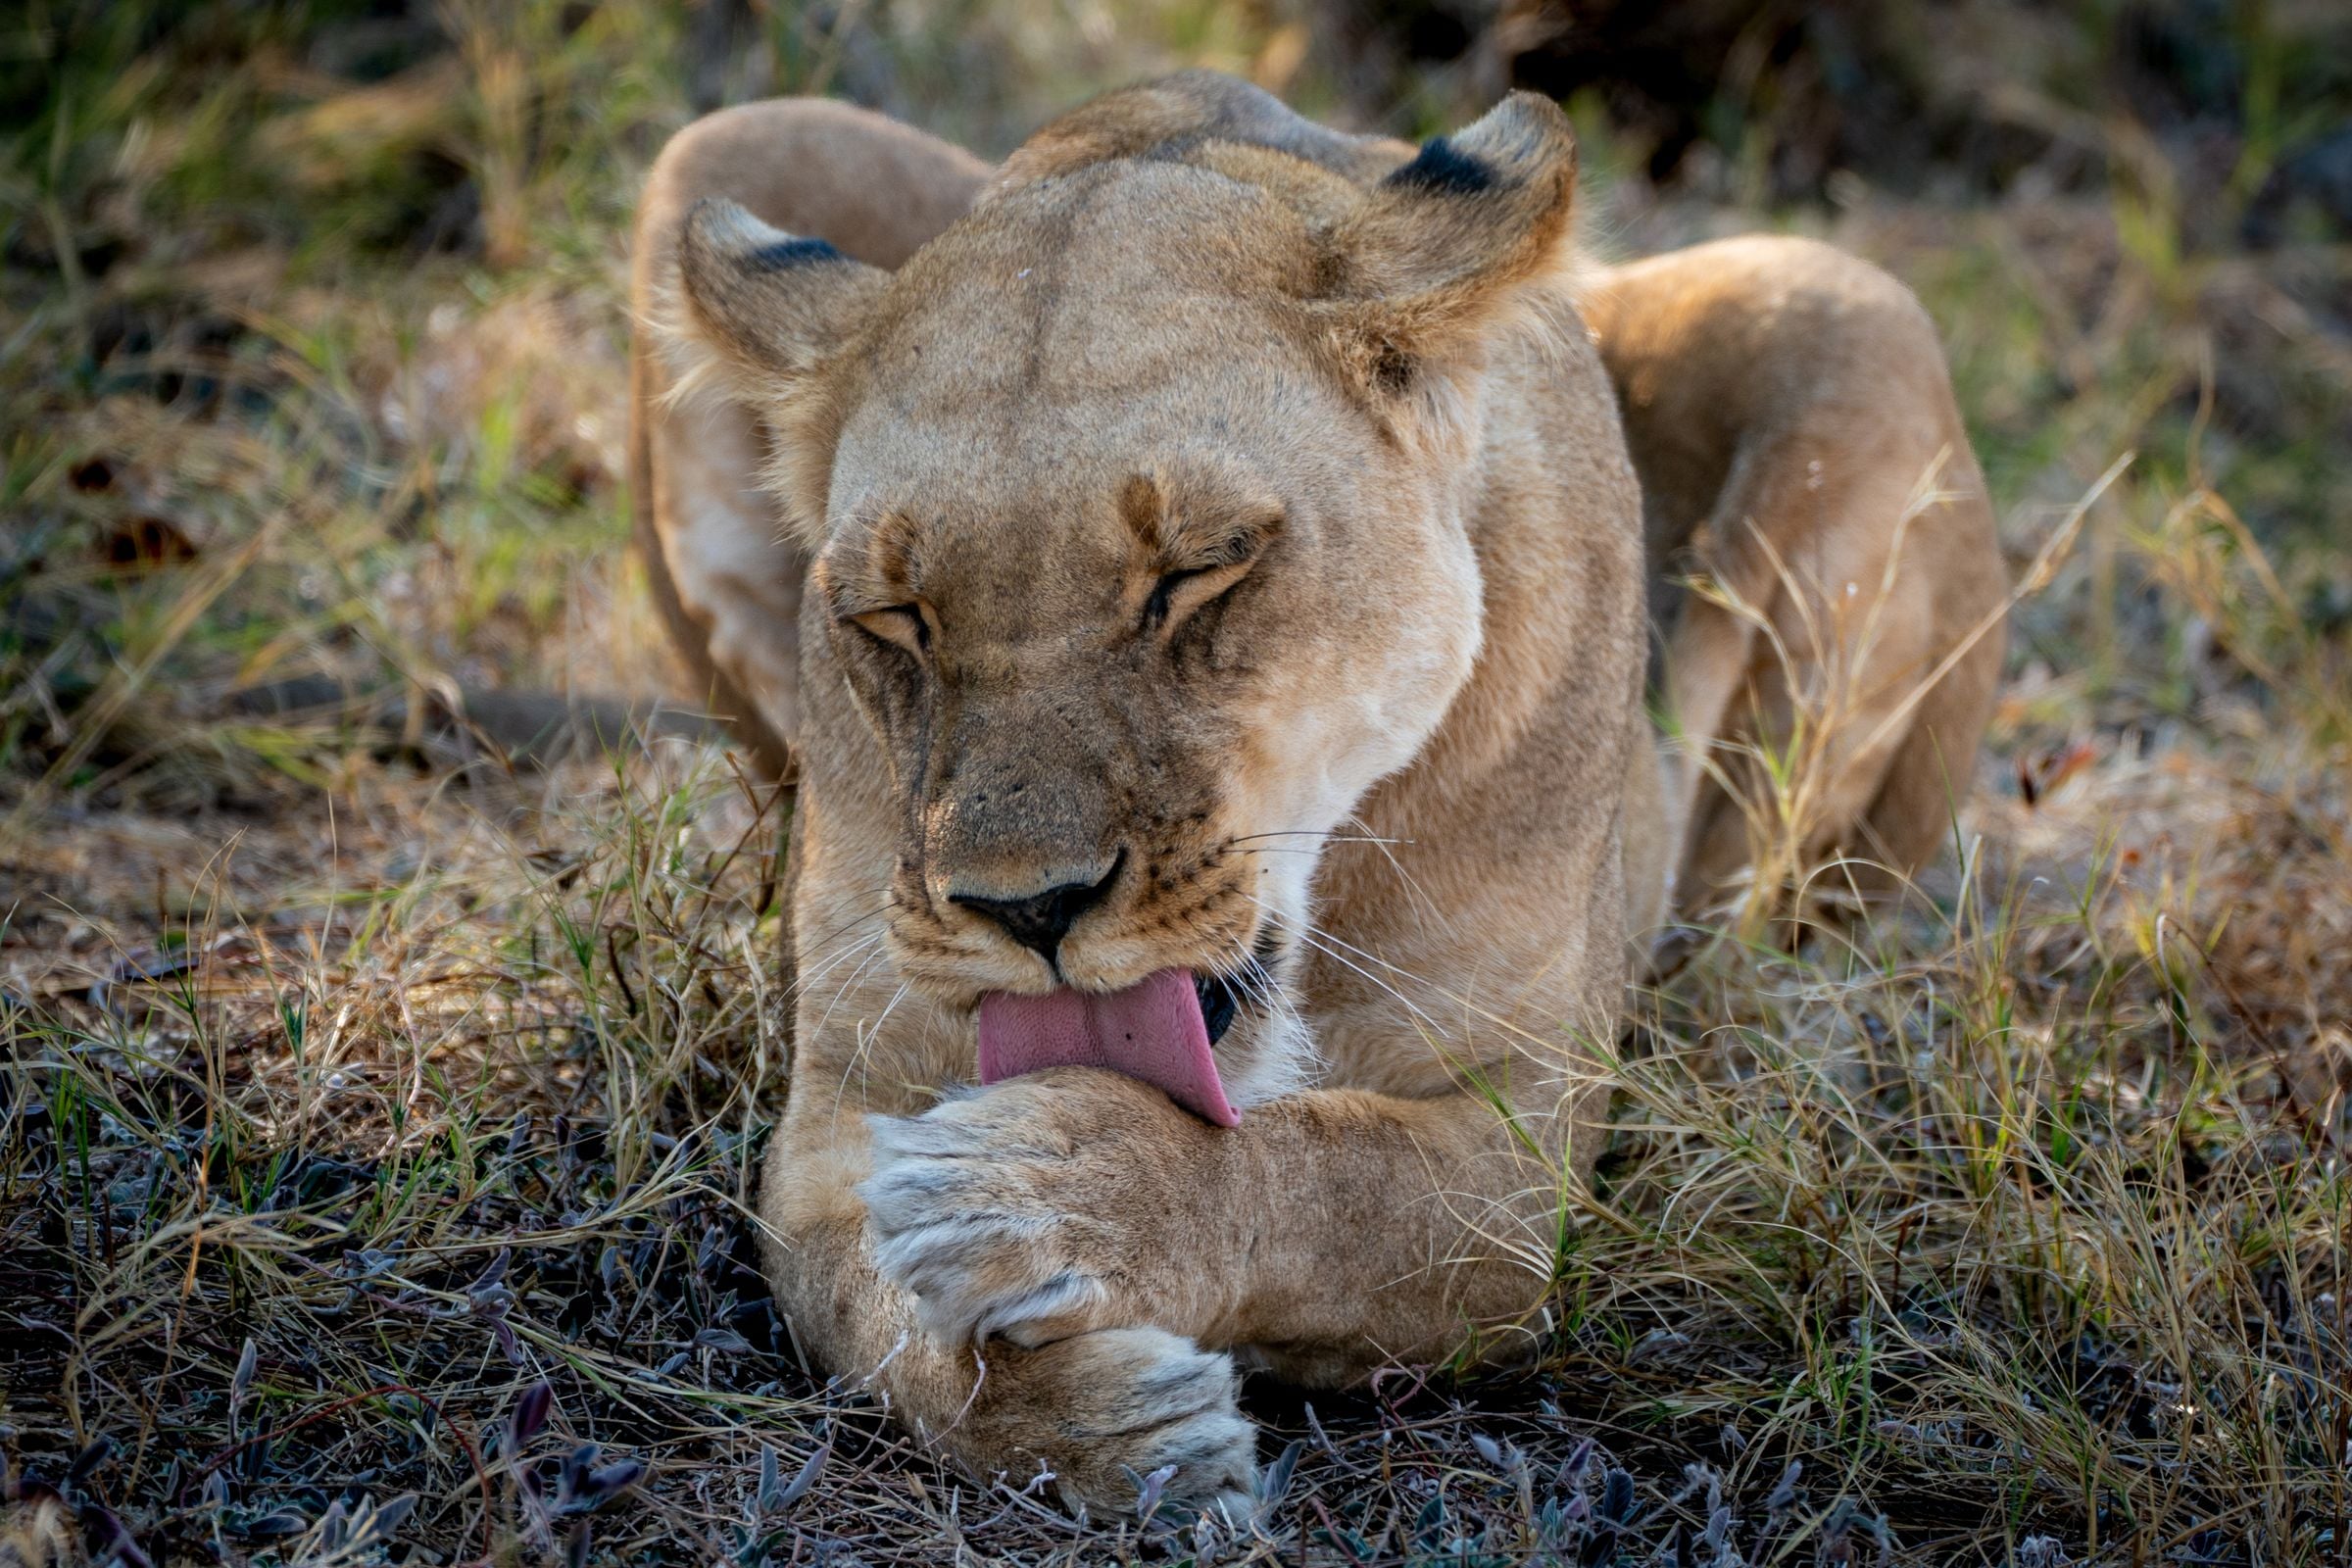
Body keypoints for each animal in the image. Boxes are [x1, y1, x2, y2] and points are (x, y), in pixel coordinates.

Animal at [630, 73, 2005, 1512]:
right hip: (724, 145)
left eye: (1199, 572)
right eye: (894, 618)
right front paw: (1099, 1424)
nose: (1028, 911)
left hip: (1848, 303)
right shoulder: (844, 1093)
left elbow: (1321, 1174)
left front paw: (1056, 1196)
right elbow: (855, 1299)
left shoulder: (1517, 1153)